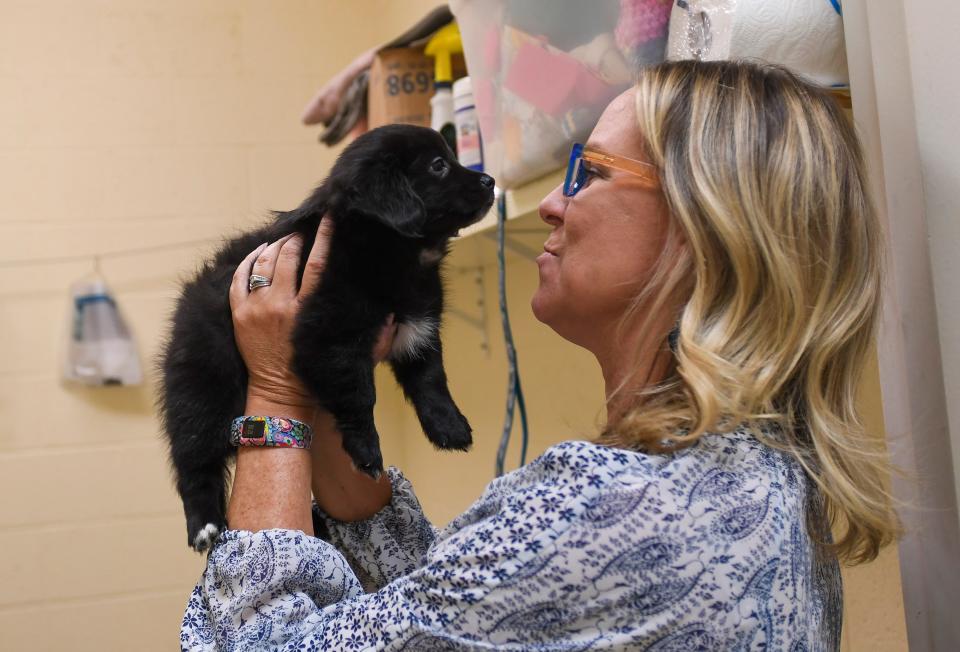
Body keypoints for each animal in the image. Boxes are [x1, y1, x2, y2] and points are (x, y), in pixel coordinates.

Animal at [159, 123, 496, 552]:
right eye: (439, 166)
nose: (491, 180)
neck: (392, 253)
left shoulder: (418, 326)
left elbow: (431, 380)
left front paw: (449, 427)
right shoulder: (328, 336)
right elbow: (360, 395)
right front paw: (366, 451)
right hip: (202, 388)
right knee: (194, 461)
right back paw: (204, 523)